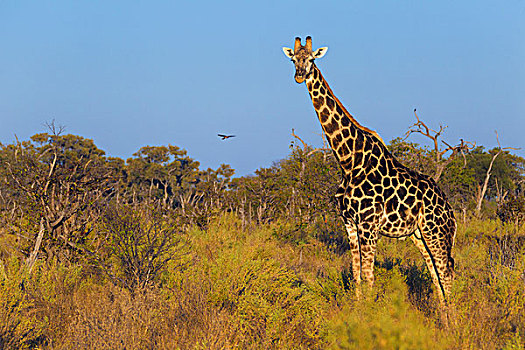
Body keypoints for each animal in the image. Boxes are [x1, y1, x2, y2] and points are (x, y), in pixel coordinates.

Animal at [282, 36, 454, 304]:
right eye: (293, 60)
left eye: (310, 59)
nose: (300, 76)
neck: (348, 161)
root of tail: (450, 209)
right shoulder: (349, 223)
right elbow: (357, 275)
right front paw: (358, 310)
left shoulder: (369, 224)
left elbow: (370, 277)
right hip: (419, 235)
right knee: (436, 274)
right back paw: (443, 316)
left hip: (437, 232)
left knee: (447, 273)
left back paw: (456, 317)